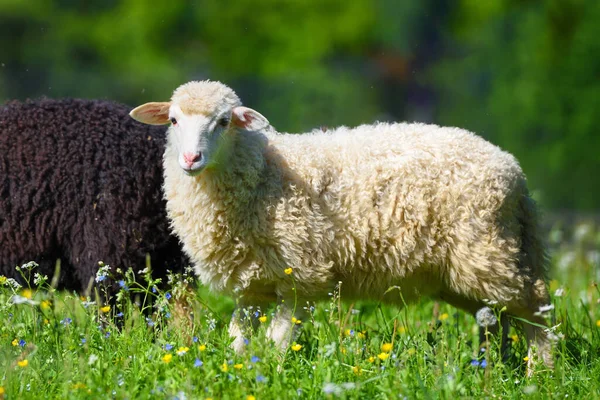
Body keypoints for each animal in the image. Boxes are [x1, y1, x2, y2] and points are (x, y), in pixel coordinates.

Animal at [131, 79, 552, 374]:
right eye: (173, 120)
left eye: (223, 122)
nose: (191, 159)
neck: (262, 169)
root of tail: (514, 172)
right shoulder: (252, 284)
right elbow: (238, 340)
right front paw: (234, 374)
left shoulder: (301, 276)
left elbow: (279, 340)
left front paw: (274, 376)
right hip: (464, 271)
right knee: (494, 319)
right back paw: (491, 369)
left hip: (491, 250)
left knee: (537, 309)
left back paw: (540, 374)